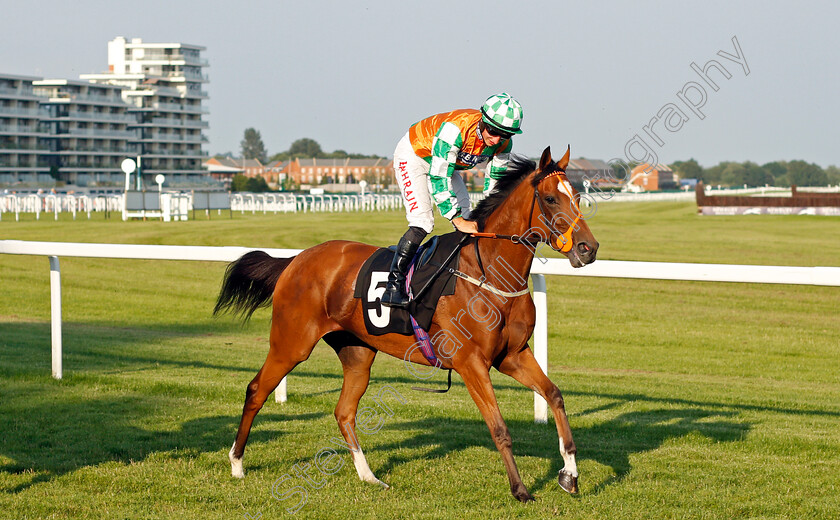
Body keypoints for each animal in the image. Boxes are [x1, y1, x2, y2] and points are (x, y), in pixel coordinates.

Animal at [215, 145, 596, 500]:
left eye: (577, 196)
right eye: (550, 198)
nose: (588, 248)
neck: (489, 273)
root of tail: (295, 260)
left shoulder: (513, 355)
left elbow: (555, 395)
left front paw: (569, 474)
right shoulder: (471, 362)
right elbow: (499, 428)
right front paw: (520, 490)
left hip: (357, 352)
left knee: (344, 411)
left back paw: (369, 476)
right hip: (291, 343)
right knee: (257, 390)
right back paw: (236, 463)